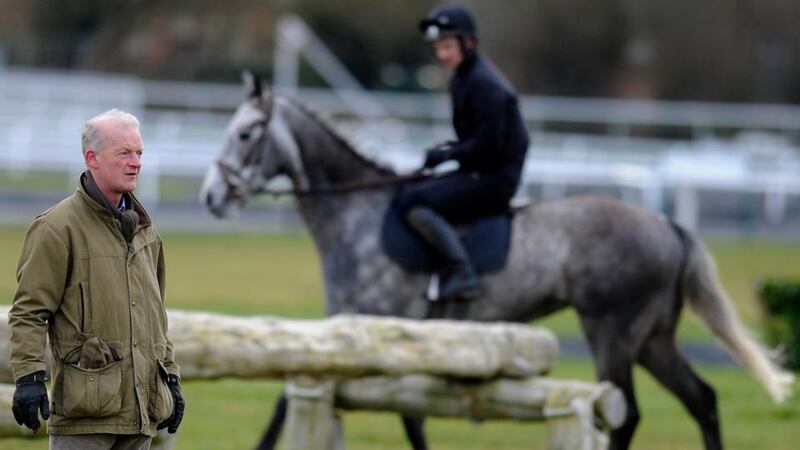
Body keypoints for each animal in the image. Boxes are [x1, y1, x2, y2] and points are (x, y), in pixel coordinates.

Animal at [200, 74, 792, 450]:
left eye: (246, 133)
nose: (211, 197)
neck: (356, 213)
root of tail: (667, 225)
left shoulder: (365, 330)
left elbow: (300, 408)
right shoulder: (359, 339)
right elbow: (402, 417)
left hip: (612, 333)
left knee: (626, 415)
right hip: (653, 338)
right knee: (702, 400)